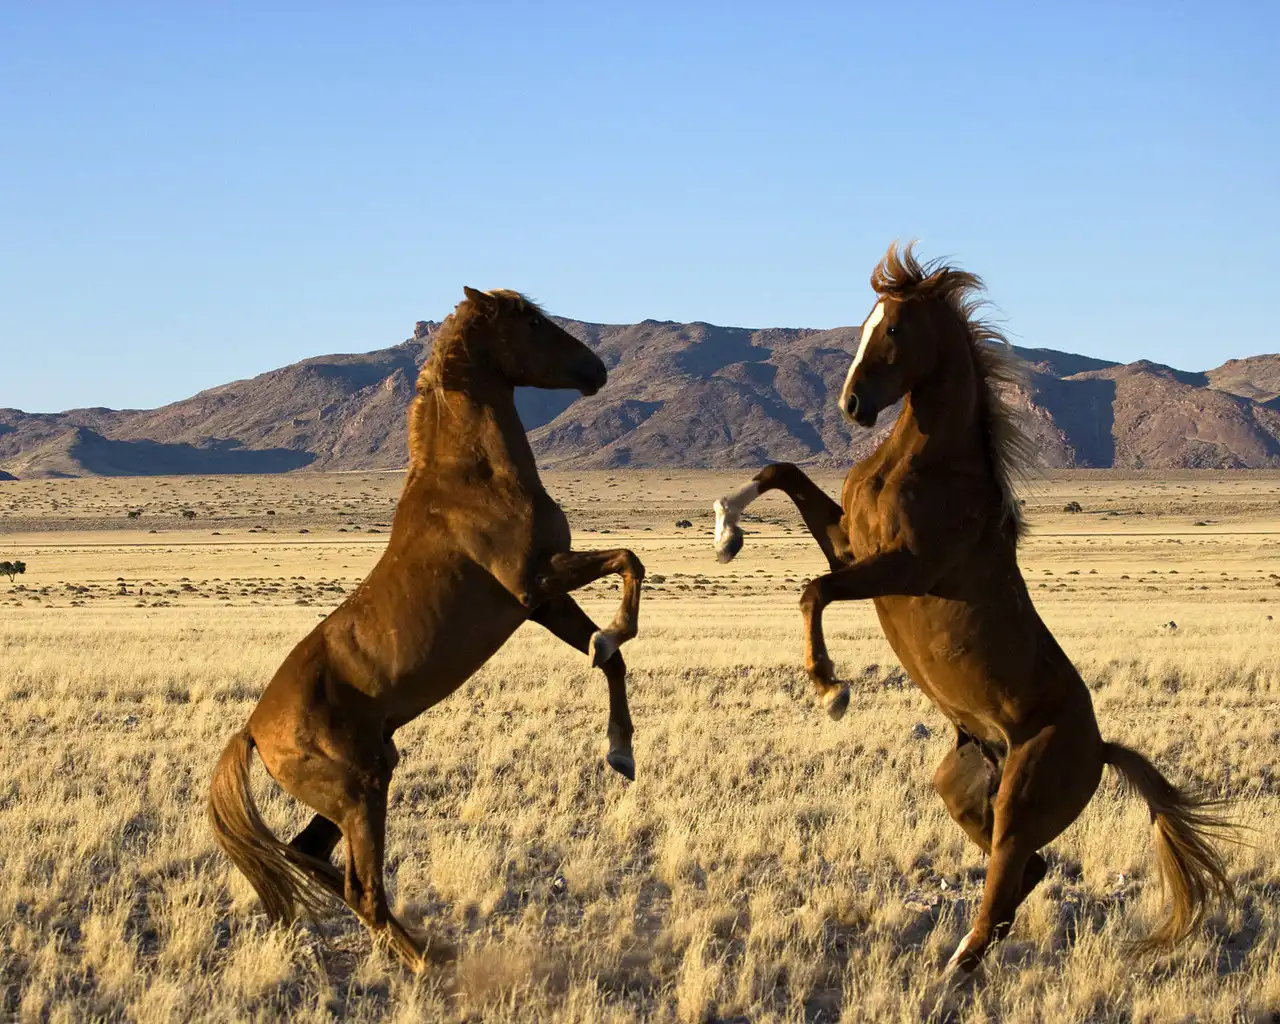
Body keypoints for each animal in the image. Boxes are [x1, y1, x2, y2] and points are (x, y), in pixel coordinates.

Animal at [209, 287, 645, 972]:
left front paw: (620, 752)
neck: (476, 478)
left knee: (315, 859)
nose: (595, 369)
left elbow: (608, 657)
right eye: (530, 321)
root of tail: (253, 730)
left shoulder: (540, 603)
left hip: (365, 778)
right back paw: (429, 965)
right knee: (361, 889)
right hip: (360, 789)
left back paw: (425, 946)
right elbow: (629, 563)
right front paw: (619, 634)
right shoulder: (534, 581)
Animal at [711, 244, 1234, 976]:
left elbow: (814, 590)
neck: (925, 462)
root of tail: (1101, 748)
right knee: (1028, 869)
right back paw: (971, 955)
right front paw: (725, 529)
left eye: (893, 328)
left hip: (1021, 795)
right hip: (959, 786)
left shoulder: (903, 567)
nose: (852, 405)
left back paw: (957, 962)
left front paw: (830, 690)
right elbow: (781, 473)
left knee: (1012, 870)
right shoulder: (852, 545)